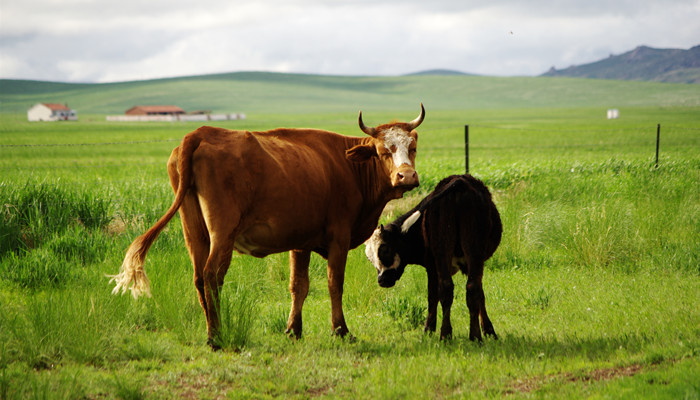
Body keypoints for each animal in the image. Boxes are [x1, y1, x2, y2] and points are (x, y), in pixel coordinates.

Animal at [110, 105, 426, 346]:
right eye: (383, 151)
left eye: (413, 147)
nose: (407, 176)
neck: (348, 167)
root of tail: (201, 133)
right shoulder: (339, 237)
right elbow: (334, 283)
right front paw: (341, 330)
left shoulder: (301, 242)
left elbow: (298, 285)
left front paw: (293, 330)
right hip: (222, 232)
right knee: (212, 276)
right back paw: (217, 336)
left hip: (195, 232)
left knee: (199, 277)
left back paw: (211, 331)